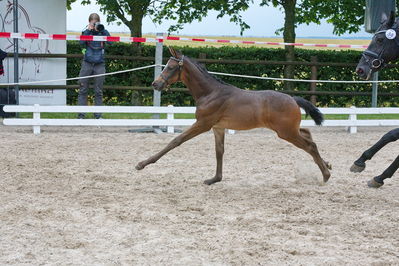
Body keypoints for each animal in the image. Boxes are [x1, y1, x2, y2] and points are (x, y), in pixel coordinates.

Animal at [136, 47, 332, 185]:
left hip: (285, 132)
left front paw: (142, 164)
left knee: (310, 145)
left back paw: (326, 175)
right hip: (289, 130)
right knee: (307, 133)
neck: (211, 93)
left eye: (170, 67)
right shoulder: (218, 127)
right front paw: (215, 179)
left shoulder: (203, 124)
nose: (155, 84)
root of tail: (292, 98)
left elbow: (175, 141)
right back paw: (327, 164)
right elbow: (219, 151)